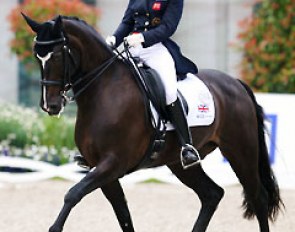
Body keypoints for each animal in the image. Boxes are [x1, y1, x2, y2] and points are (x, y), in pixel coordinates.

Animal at [22, 14, 284, 232]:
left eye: (57, 55)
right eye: (37, 56)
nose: (50, 106)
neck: (104, 91)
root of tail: (236, 83)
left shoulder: (113, 163)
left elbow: (73, 194)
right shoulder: (102, 168)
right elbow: (123, 214)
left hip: (241, 151)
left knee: (258, 197)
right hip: (179, 162)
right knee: (212, 194)